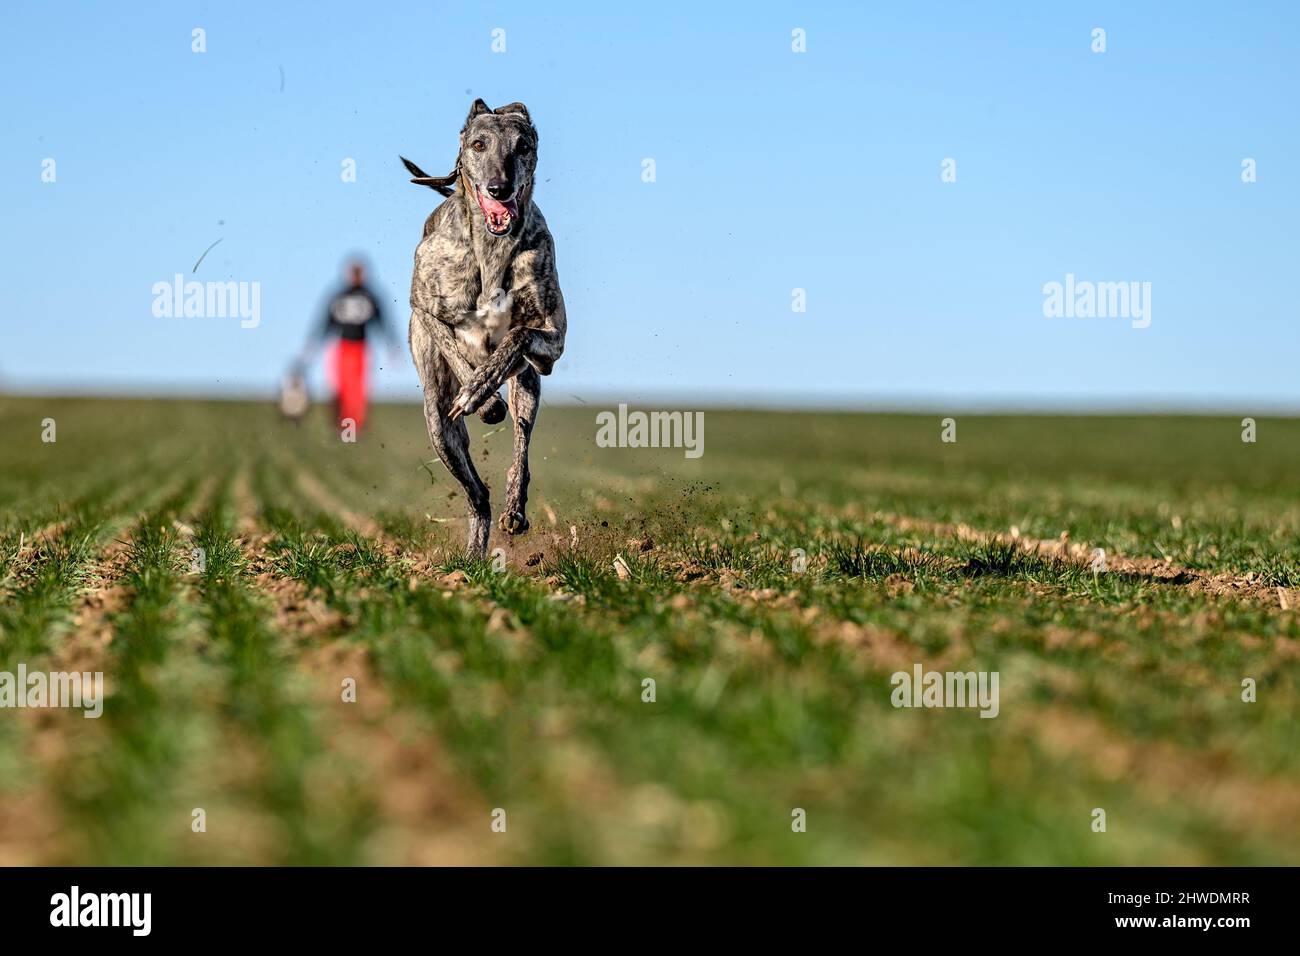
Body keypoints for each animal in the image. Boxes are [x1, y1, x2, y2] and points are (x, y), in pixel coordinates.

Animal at [403, 97, 566, 556]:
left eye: (523, 146)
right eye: (479, 144)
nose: (500, 189)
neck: (491, 252)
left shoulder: (552, 342)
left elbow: (517, 336)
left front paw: (483, 388)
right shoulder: (423, 306)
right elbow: (453, 348)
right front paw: (482, 398)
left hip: (529, 388)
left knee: (519, 450)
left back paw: (513, 511)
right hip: (438, 424)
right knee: (476, 495)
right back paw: (472, 558)